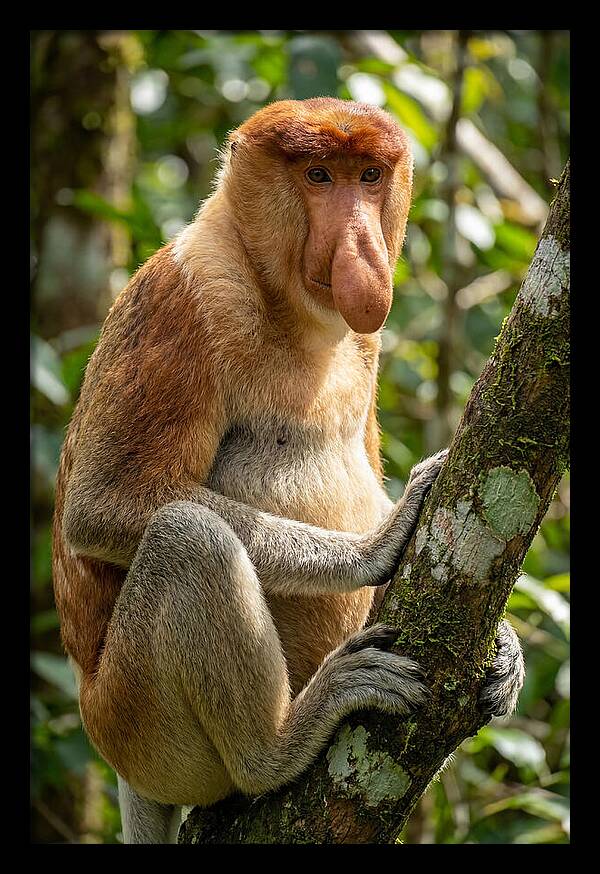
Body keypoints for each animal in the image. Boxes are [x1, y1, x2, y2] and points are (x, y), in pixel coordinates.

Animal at [51, 98, 524, 844]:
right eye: (318, 176)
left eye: (368, 176)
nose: (361, 247)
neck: (291, 308)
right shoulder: (184, 299)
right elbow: (104, 504)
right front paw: (377, 544)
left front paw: (507, 648)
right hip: (136, 725)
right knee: (188, 539)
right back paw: (280, 744)